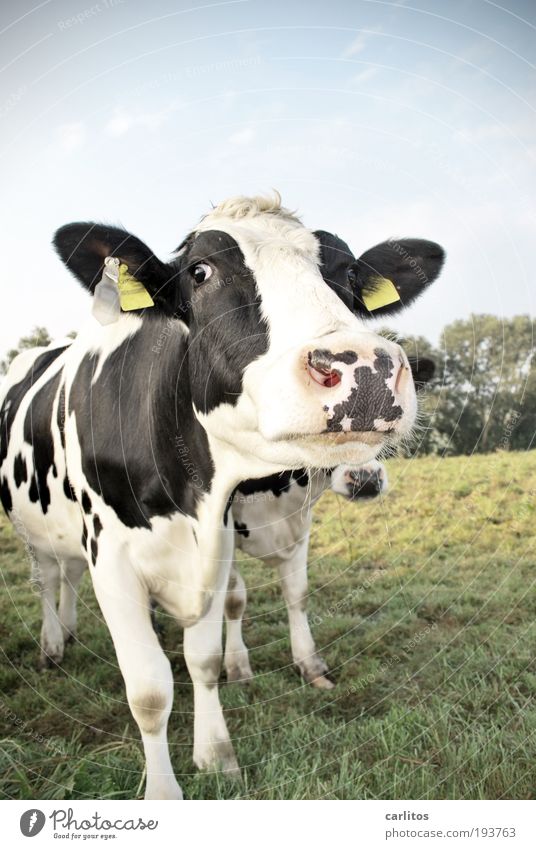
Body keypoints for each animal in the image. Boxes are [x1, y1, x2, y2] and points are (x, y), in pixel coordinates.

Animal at [0, 195, 444, 800]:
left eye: (351, 275)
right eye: (200, 273)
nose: (364, 368)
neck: (188, 497)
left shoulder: (221, 539)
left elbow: (207, 657)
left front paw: (215, 753)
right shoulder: (113, 561)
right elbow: (149, 691)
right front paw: (164, 792)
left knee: (67, 576)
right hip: (33, 526)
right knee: (48, 576)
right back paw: (51, 644)